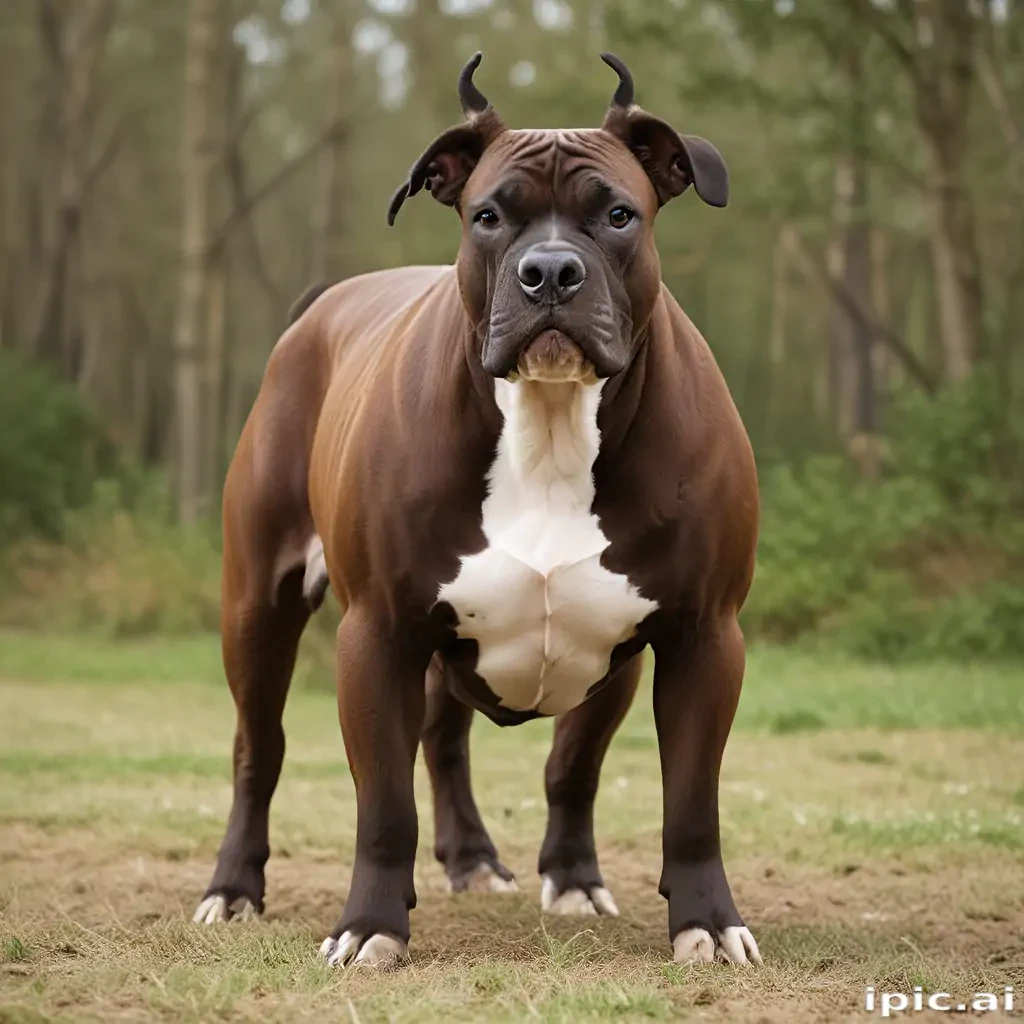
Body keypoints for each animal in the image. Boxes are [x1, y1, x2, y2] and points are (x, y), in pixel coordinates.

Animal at [193, 52, 761, 970]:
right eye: (489, 216)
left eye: (618, 214)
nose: (551, 272)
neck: (552, 419)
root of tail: (321, 306)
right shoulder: (379, 633)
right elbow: (383, 806)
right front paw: (370, 926)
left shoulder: (700, 637)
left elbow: (668, 794)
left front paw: (696, 916)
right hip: (258, 603)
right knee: (260, 747)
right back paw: (233, 886)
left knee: (470, 744)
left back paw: (491, 861)